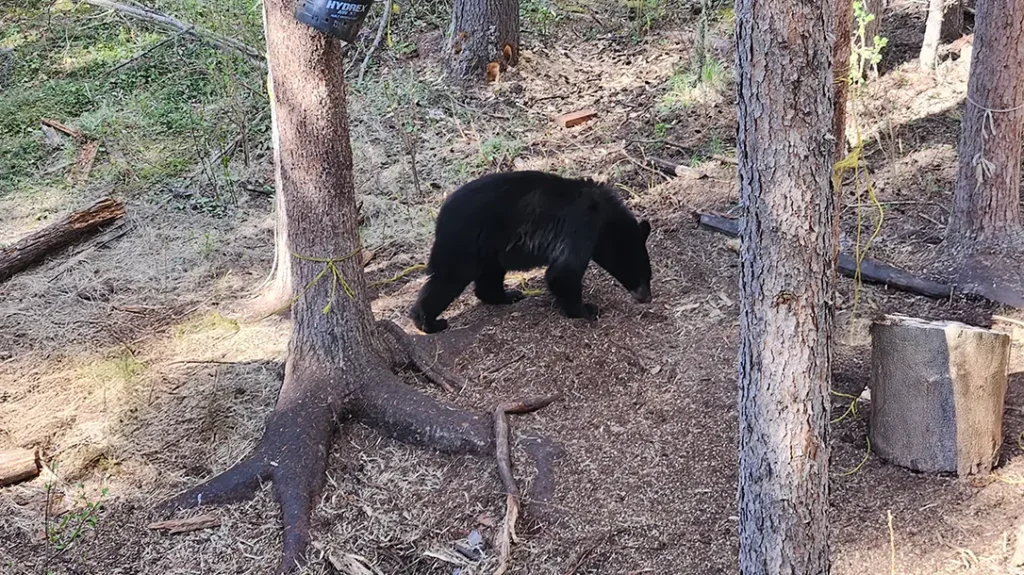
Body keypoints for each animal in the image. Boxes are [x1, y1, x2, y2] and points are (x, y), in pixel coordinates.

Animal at [408, 170, 653, 334]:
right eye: (643, 274)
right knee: (449, 278)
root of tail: (441, 215)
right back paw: (428, 322)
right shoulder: (581, 224)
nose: (647, 298)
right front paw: (586, 310)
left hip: (489, 247)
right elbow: (563, 272)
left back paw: (508, 296)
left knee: (490, 275)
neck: (605, 219)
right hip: (464, 241)